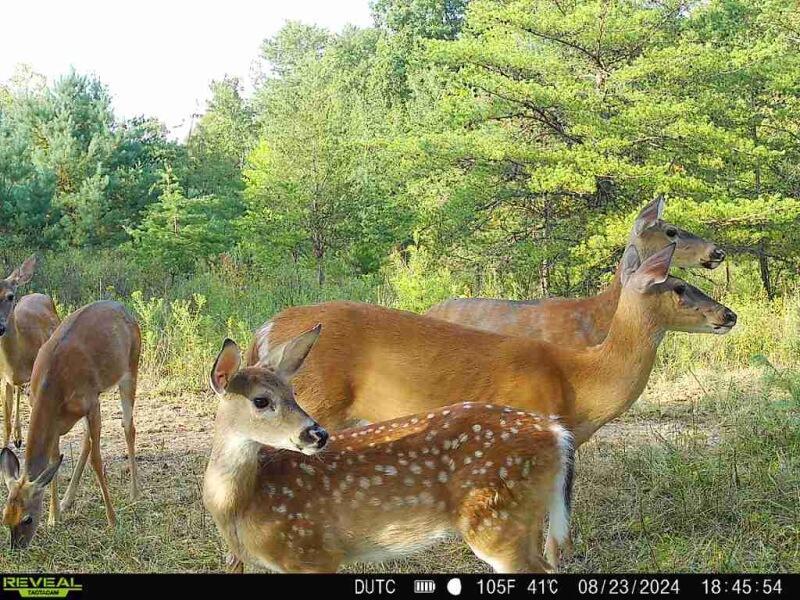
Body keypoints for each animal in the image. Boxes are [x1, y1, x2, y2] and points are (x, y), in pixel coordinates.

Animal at [0, 300, 141, 548]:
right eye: (6, 516)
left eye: (27, 518)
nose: (17, 547)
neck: (54, 385)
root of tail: (126, 311)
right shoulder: (56, 421)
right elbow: (55, 461)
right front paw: (54, 517)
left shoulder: (91, 402)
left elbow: (97, 460)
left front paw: (113, 520)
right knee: (87, 440)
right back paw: (67, 500)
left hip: (130, 370)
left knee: (128, 427)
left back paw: (134, 494)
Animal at [203, 330, 572, 576]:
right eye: (261, 400)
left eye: (293, 393)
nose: (317, 434)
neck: (242, 504)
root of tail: (556, 433)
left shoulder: (312, 551)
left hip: (495, 519)